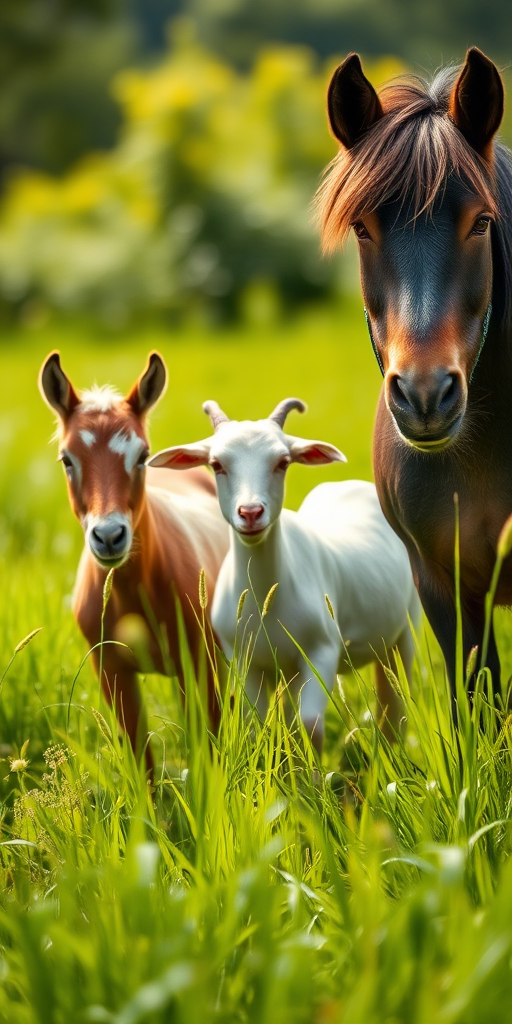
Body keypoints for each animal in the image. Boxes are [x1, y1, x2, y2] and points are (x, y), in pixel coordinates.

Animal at [39, 351, 229, 774]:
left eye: (142, 456)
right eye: (66, 459)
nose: (110, 536)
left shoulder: (198, 666)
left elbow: (206, 753)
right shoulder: (113, 673)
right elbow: (142, 764)